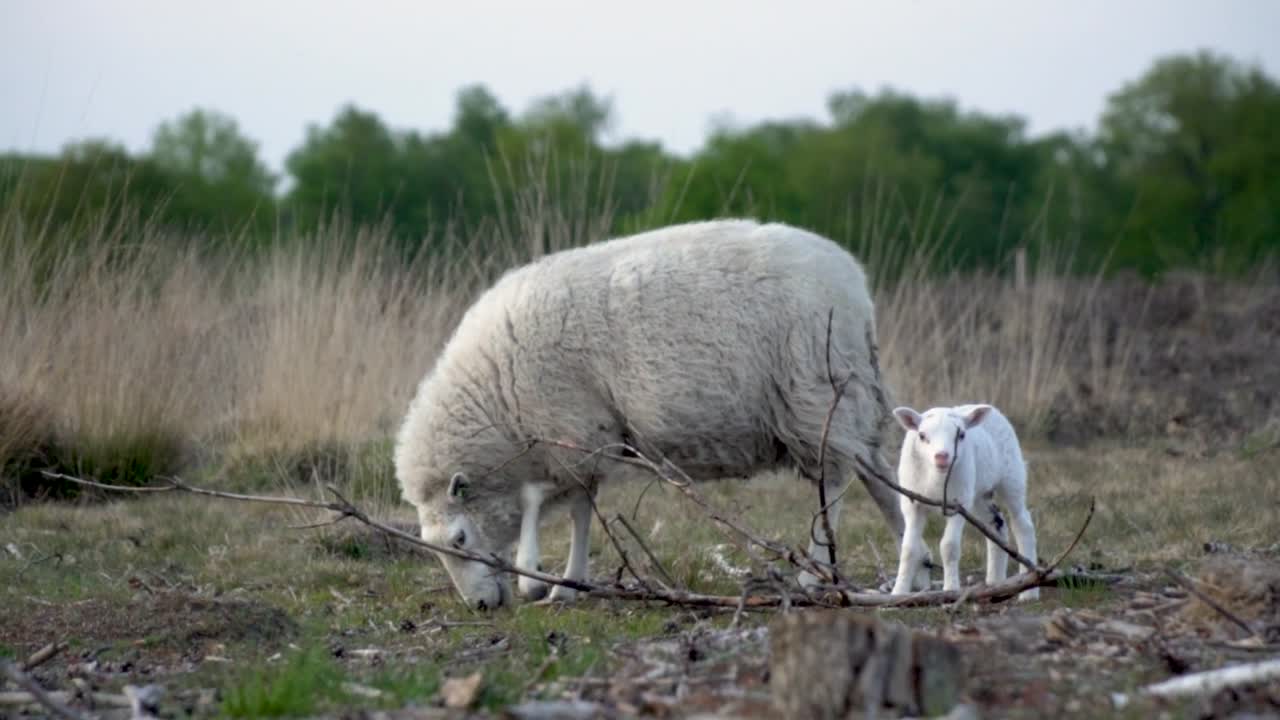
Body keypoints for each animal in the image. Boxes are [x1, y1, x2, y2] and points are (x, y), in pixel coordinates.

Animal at [393, 218, 925, 610]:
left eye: (460, 537)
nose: (480, 606)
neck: (495, 391)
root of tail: (856, 289)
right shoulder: (583, 437)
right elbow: (577, 506)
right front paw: (565, 582)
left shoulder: (575, 429)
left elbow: (560, 504)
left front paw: (547, 581)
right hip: (846, 388)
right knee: (877, 474)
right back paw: (914, 568)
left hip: (812, 390)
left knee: (834, 479)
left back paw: (817, 576)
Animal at [888, 403, 1040, 601]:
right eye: (921, 436)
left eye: (961, 435)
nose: (942, 456)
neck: (936, 479)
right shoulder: (912, 503)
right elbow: (908, 549)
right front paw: (898, 592)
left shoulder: (958, 503)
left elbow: (949, 546)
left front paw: (950, 589)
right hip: (979, 493)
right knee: (996, 525)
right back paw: (995, 584)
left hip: (1012, 476)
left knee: (1022, 524)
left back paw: (1029, 591)